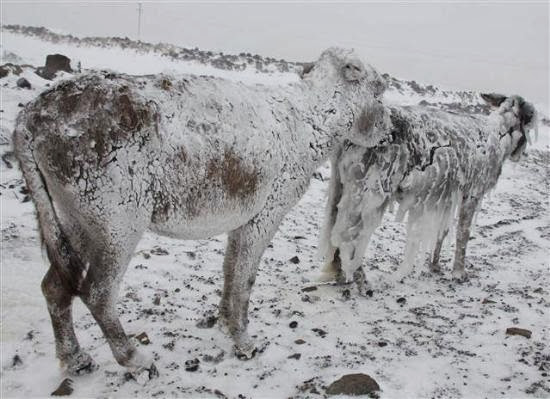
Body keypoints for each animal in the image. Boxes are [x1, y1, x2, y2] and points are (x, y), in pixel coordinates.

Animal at [15, 48, 390, 376]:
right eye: (379, 90)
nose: (388, 131)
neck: (310, 121)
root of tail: (30, 119)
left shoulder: (242, 218)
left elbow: (230, 271)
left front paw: (225, 323)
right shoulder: (265, 215)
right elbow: (245, 278)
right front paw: (243, 341)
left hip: (75, 221)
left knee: (55, 287)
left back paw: (75, 359)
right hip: (115, 222)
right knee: (98, 293)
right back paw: (134, 359)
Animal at [322, 95, 536, 292]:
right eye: (527, 120)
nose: (520, 154)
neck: (500, 134)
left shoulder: (448, 194)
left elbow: (443, 231)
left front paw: (435, 265)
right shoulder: (473, 191)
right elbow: (463, 233)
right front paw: (459, 273)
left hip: (344, 183)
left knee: (334, 225)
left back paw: (340, 273)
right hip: (371, 187)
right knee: (350, 234)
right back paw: (360, 280)